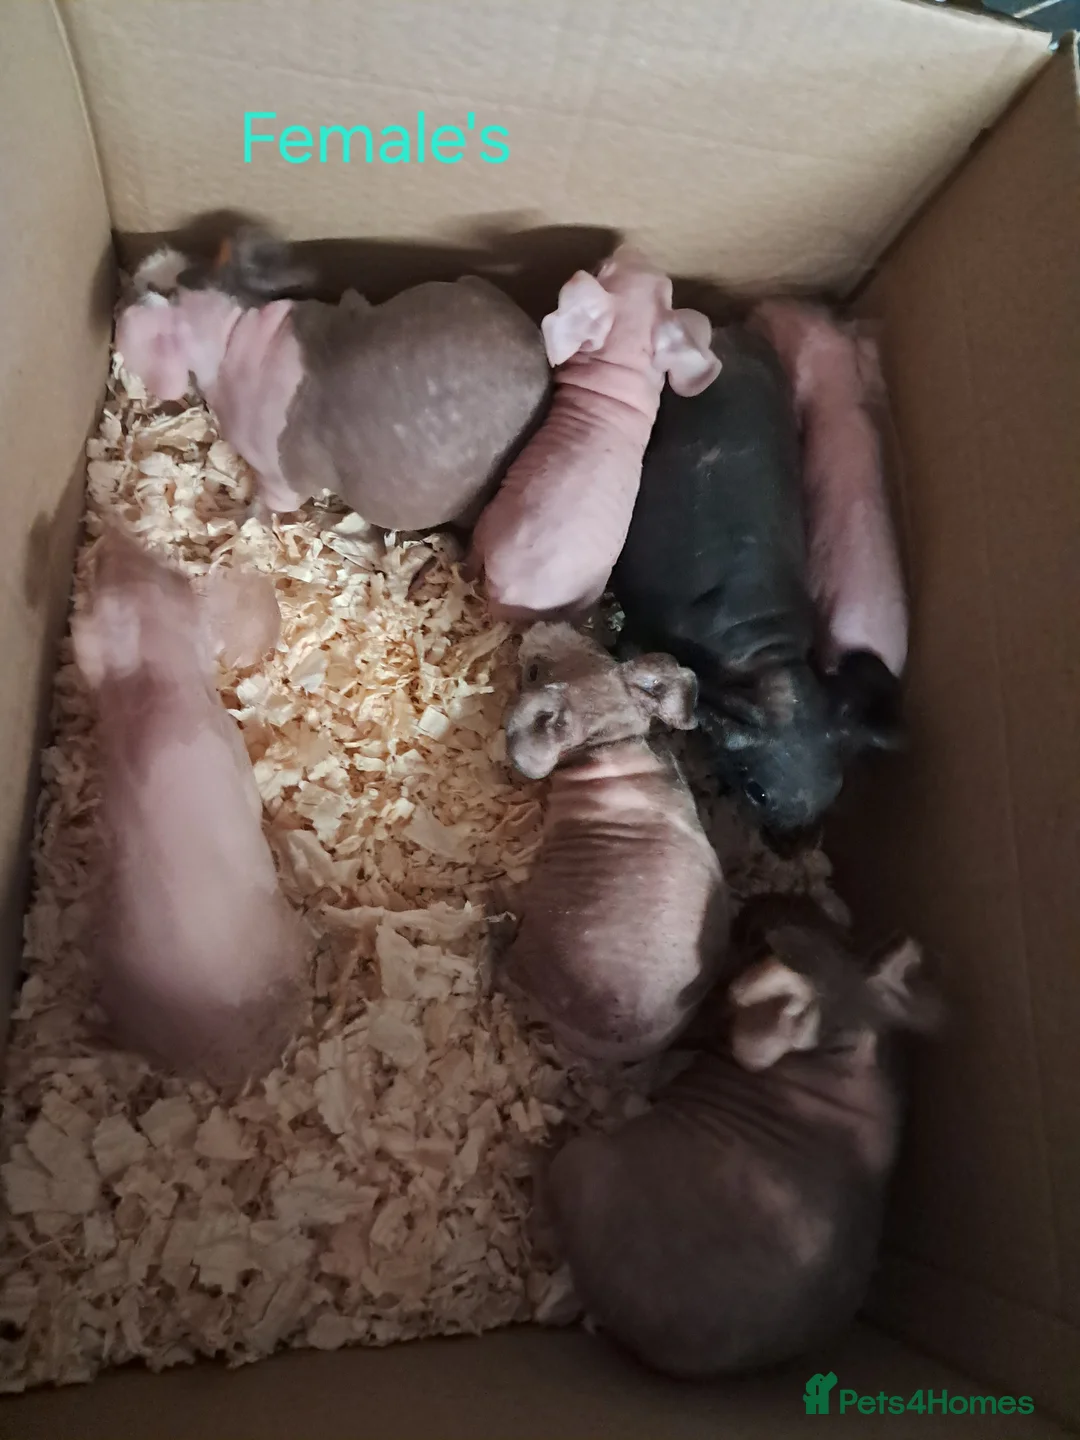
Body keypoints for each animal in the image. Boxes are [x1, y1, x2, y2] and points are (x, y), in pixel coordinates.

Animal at [114, 226, 552, 532]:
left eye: (152, 287)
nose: (132, 281)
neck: (230, 330)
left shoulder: (277, 477)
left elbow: (266, 506)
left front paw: (241, 523)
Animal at [467, 246, 721, 623]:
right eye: (670, 290)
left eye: (603, 269)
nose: (630, 248)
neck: (621, 371)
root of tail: (506, 595)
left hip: (498, 531)